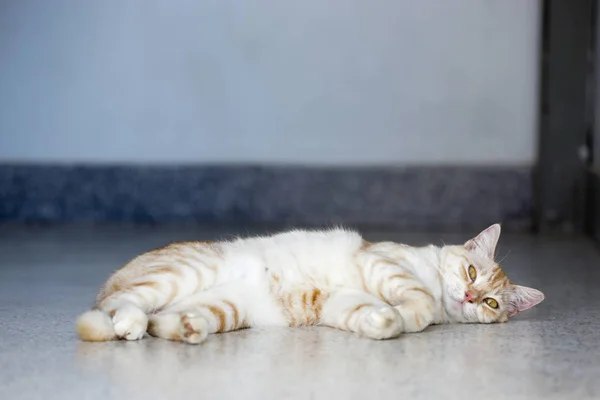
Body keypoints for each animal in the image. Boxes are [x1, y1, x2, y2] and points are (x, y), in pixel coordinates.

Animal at [75, 225, 544, 344]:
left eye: (491, 303)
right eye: (471, 273)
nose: (469, 295)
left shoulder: (342, 303)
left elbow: (375, 317)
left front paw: (385, 322)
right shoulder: (382, 262)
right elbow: (420, 300)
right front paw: (409, 315)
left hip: (224, 310)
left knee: (163, 323)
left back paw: (185, 328)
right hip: (182, 274)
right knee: (112, 306)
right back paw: (127, 323)